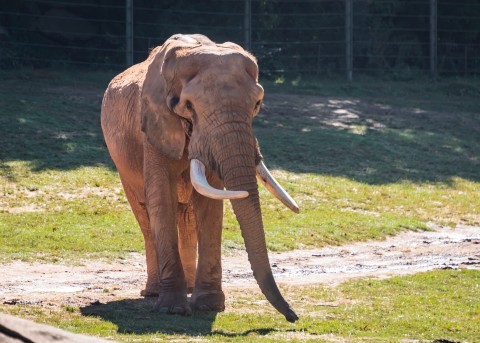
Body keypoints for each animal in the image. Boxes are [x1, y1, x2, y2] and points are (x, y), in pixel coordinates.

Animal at [100, 33, 298, 324]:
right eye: (188, 106)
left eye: (257, 104)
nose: (293, 316)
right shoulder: (153, 124)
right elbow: (161, 198)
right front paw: (172, 309)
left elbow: (210, 202)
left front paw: (208, 306)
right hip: (122, 162)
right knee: (145, 214)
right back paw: (155, 292)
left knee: (187, 216)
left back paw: (190, 287)